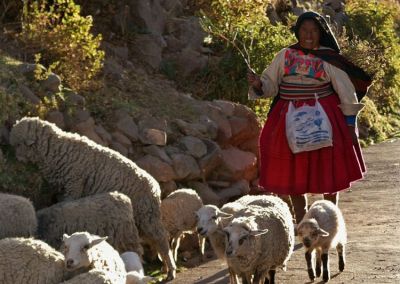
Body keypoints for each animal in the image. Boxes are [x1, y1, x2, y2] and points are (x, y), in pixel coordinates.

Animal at [10, 117, 176, 280]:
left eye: (19, 144)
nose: (17, 159)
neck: (57, 149)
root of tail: (155, 186)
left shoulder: (74, 186)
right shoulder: (63, 190)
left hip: (147, 215)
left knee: (161, 239)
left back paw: (170, 270)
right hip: (141, 219)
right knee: (154, 240)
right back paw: (164, 266)